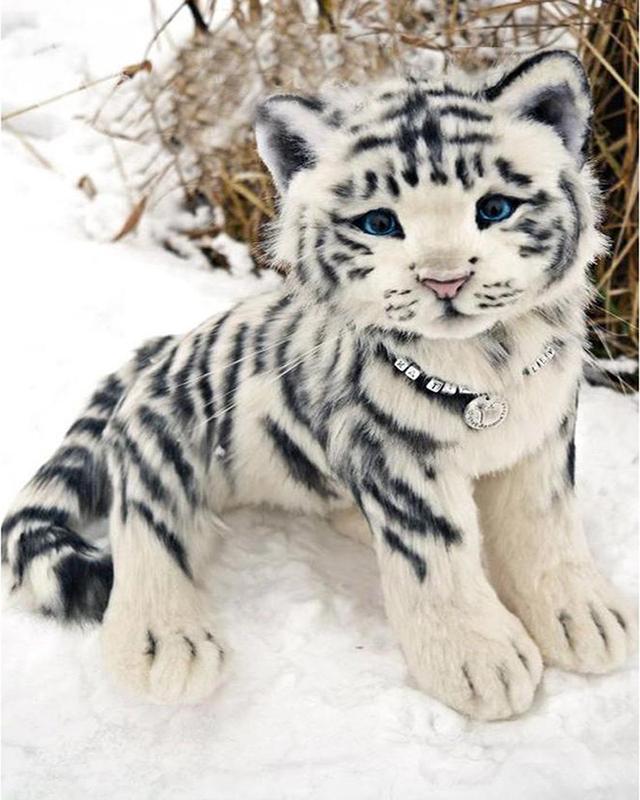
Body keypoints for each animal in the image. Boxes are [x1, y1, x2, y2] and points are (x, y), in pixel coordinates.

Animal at [2, 50, 634, 720]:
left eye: (493, 209)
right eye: (381, 223)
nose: (444, 279)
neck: (489, 367)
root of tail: (157, 352)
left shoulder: (543, 436)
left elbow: (545, 529)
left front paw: (584, 619)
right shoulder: (396, 458)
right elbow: (436, 557)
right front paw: (479, 660)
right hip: (162, 448)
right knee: (147, 529)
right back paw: (165, 645)